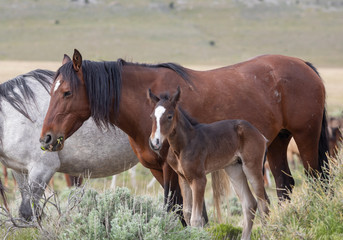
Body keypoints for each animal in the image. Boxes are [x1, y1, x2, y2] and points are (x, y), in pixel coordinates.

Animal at [40, 49, 330, 217]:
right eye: (51, 91)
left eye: (67, 92)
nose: (46, 138)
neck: (149, 104)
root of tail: (304, 65)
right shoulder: (158, 170)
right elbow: (183, 211)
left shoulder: (171, 168)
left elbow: (175, 208)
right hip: (278, 143)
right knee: (285, 186)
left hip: (305, 137)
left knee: (318, 181)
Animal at [149, 86, 270, 240]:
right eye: (152, 117)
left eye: (169, 116)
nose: (155, 143)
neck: (183, 145)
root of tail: (259, 134)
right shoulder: (183, 179)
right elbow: (187, 213)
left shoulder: (199, 179)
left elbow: (196, 218)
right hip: (234, 169)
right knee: (249, 204)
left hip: (251, 167)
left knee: (263, 204)